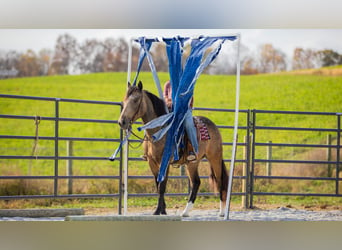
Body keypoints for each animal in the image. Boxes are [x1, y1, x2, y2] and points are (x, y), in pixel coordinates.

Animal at [119, 81, 228, 217]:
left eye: (135, 100)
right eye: (124, 100)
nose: (122, 122)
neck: (160, 131)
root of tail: (213, 125)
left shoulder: (164, 162)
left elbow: (162, 186)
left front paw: (157, 211)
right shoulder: (152, 162)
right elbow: (158, 184)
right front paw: (163, 210)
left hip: (214, 158)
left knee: (220, 180)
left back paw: (222, 212)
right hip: (192, 162)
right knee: (196, 182)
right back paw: (186, 212)